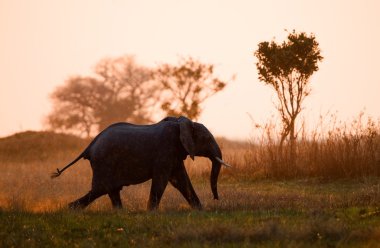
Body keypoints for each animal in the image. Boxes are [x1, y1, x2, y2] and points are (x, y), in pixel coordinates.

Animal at [51, 116, 230, 209]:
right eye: (207, 139)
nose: (216, 199)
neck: (182, 123)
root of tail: (89, 146)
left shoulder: (175, 154)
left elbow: (181, 181)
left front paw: (200, 211)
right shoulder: (165, 151)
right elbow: (162, 181)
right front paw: (151, 213)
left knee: (110, 190)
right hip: (104, 163)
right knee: (100, 189)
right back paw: (70, 209)